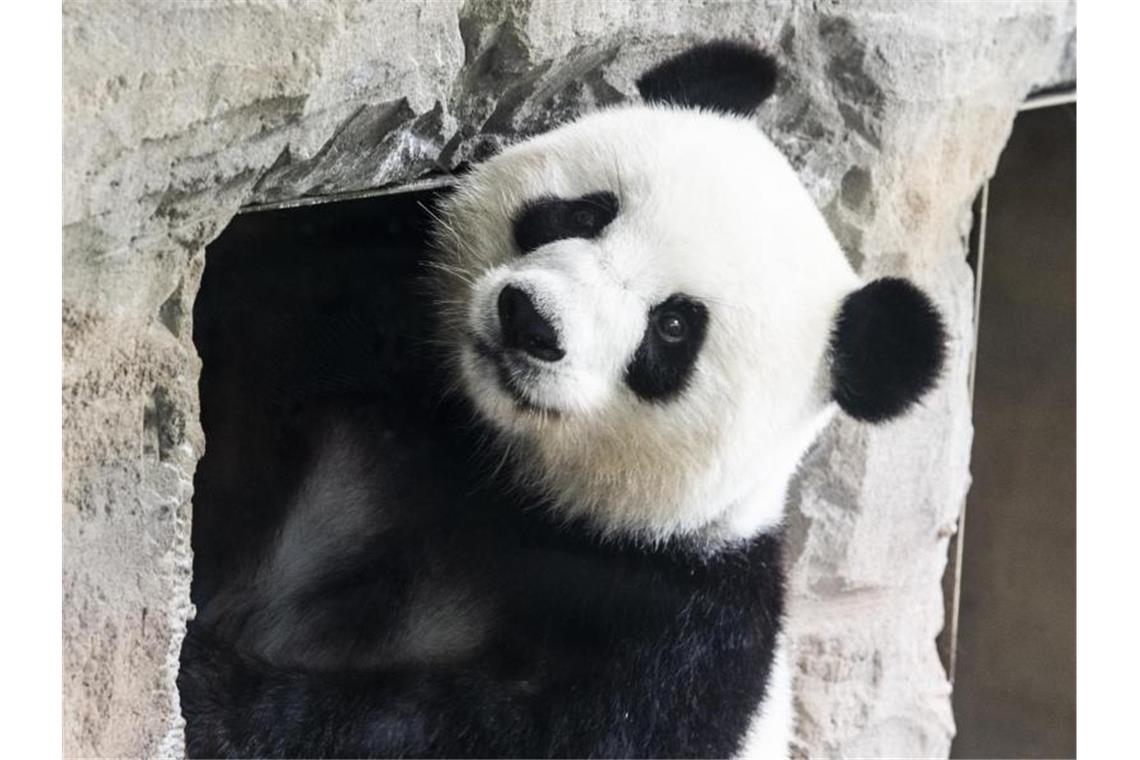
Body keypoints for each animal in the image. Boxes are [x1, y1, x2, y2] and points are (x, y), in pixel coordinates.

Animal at [180, 41, 943, 760]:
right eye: (584, 212)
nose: (532, 322)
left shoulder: (682, 619)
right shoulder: (361, 317)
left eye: (674, 327)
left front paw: (216, 694)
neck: (490, 455)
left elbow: (506, 730)